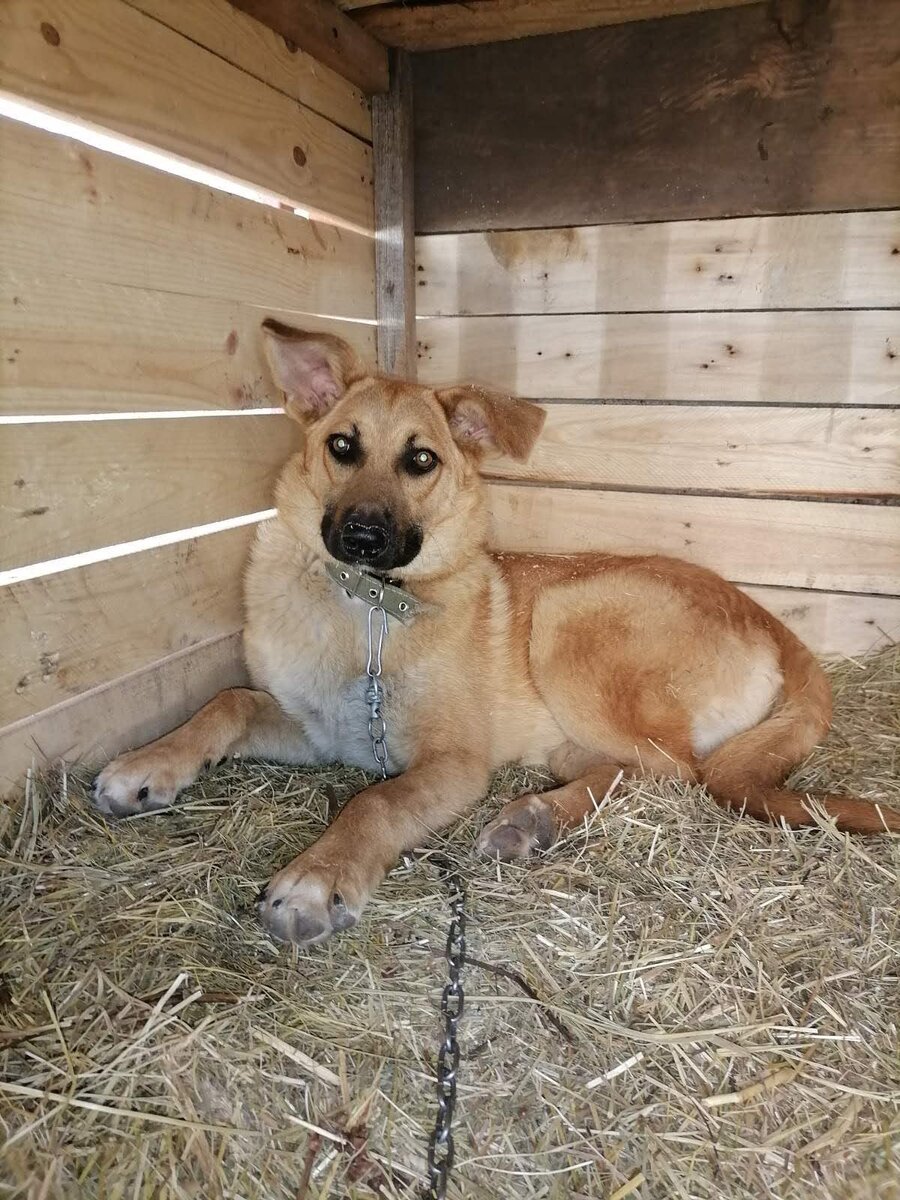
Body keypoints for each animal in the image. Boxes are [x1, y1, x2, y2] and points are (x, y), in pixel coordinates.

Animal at [91, 319, 900, 945]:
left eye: (421, 459)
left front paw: (318, 878)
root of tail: (770, 619)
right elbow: (226, 702)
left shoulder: (453, 763)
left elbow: (374, 803)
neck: (369, 612)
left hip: (568, 619)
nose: (361, 536)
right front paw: (151, 763)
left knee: (674, 771)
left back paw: (536, 816)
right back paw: (537, 816)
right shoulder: (314, 727)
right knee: (628, 768)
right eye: (342, 446)